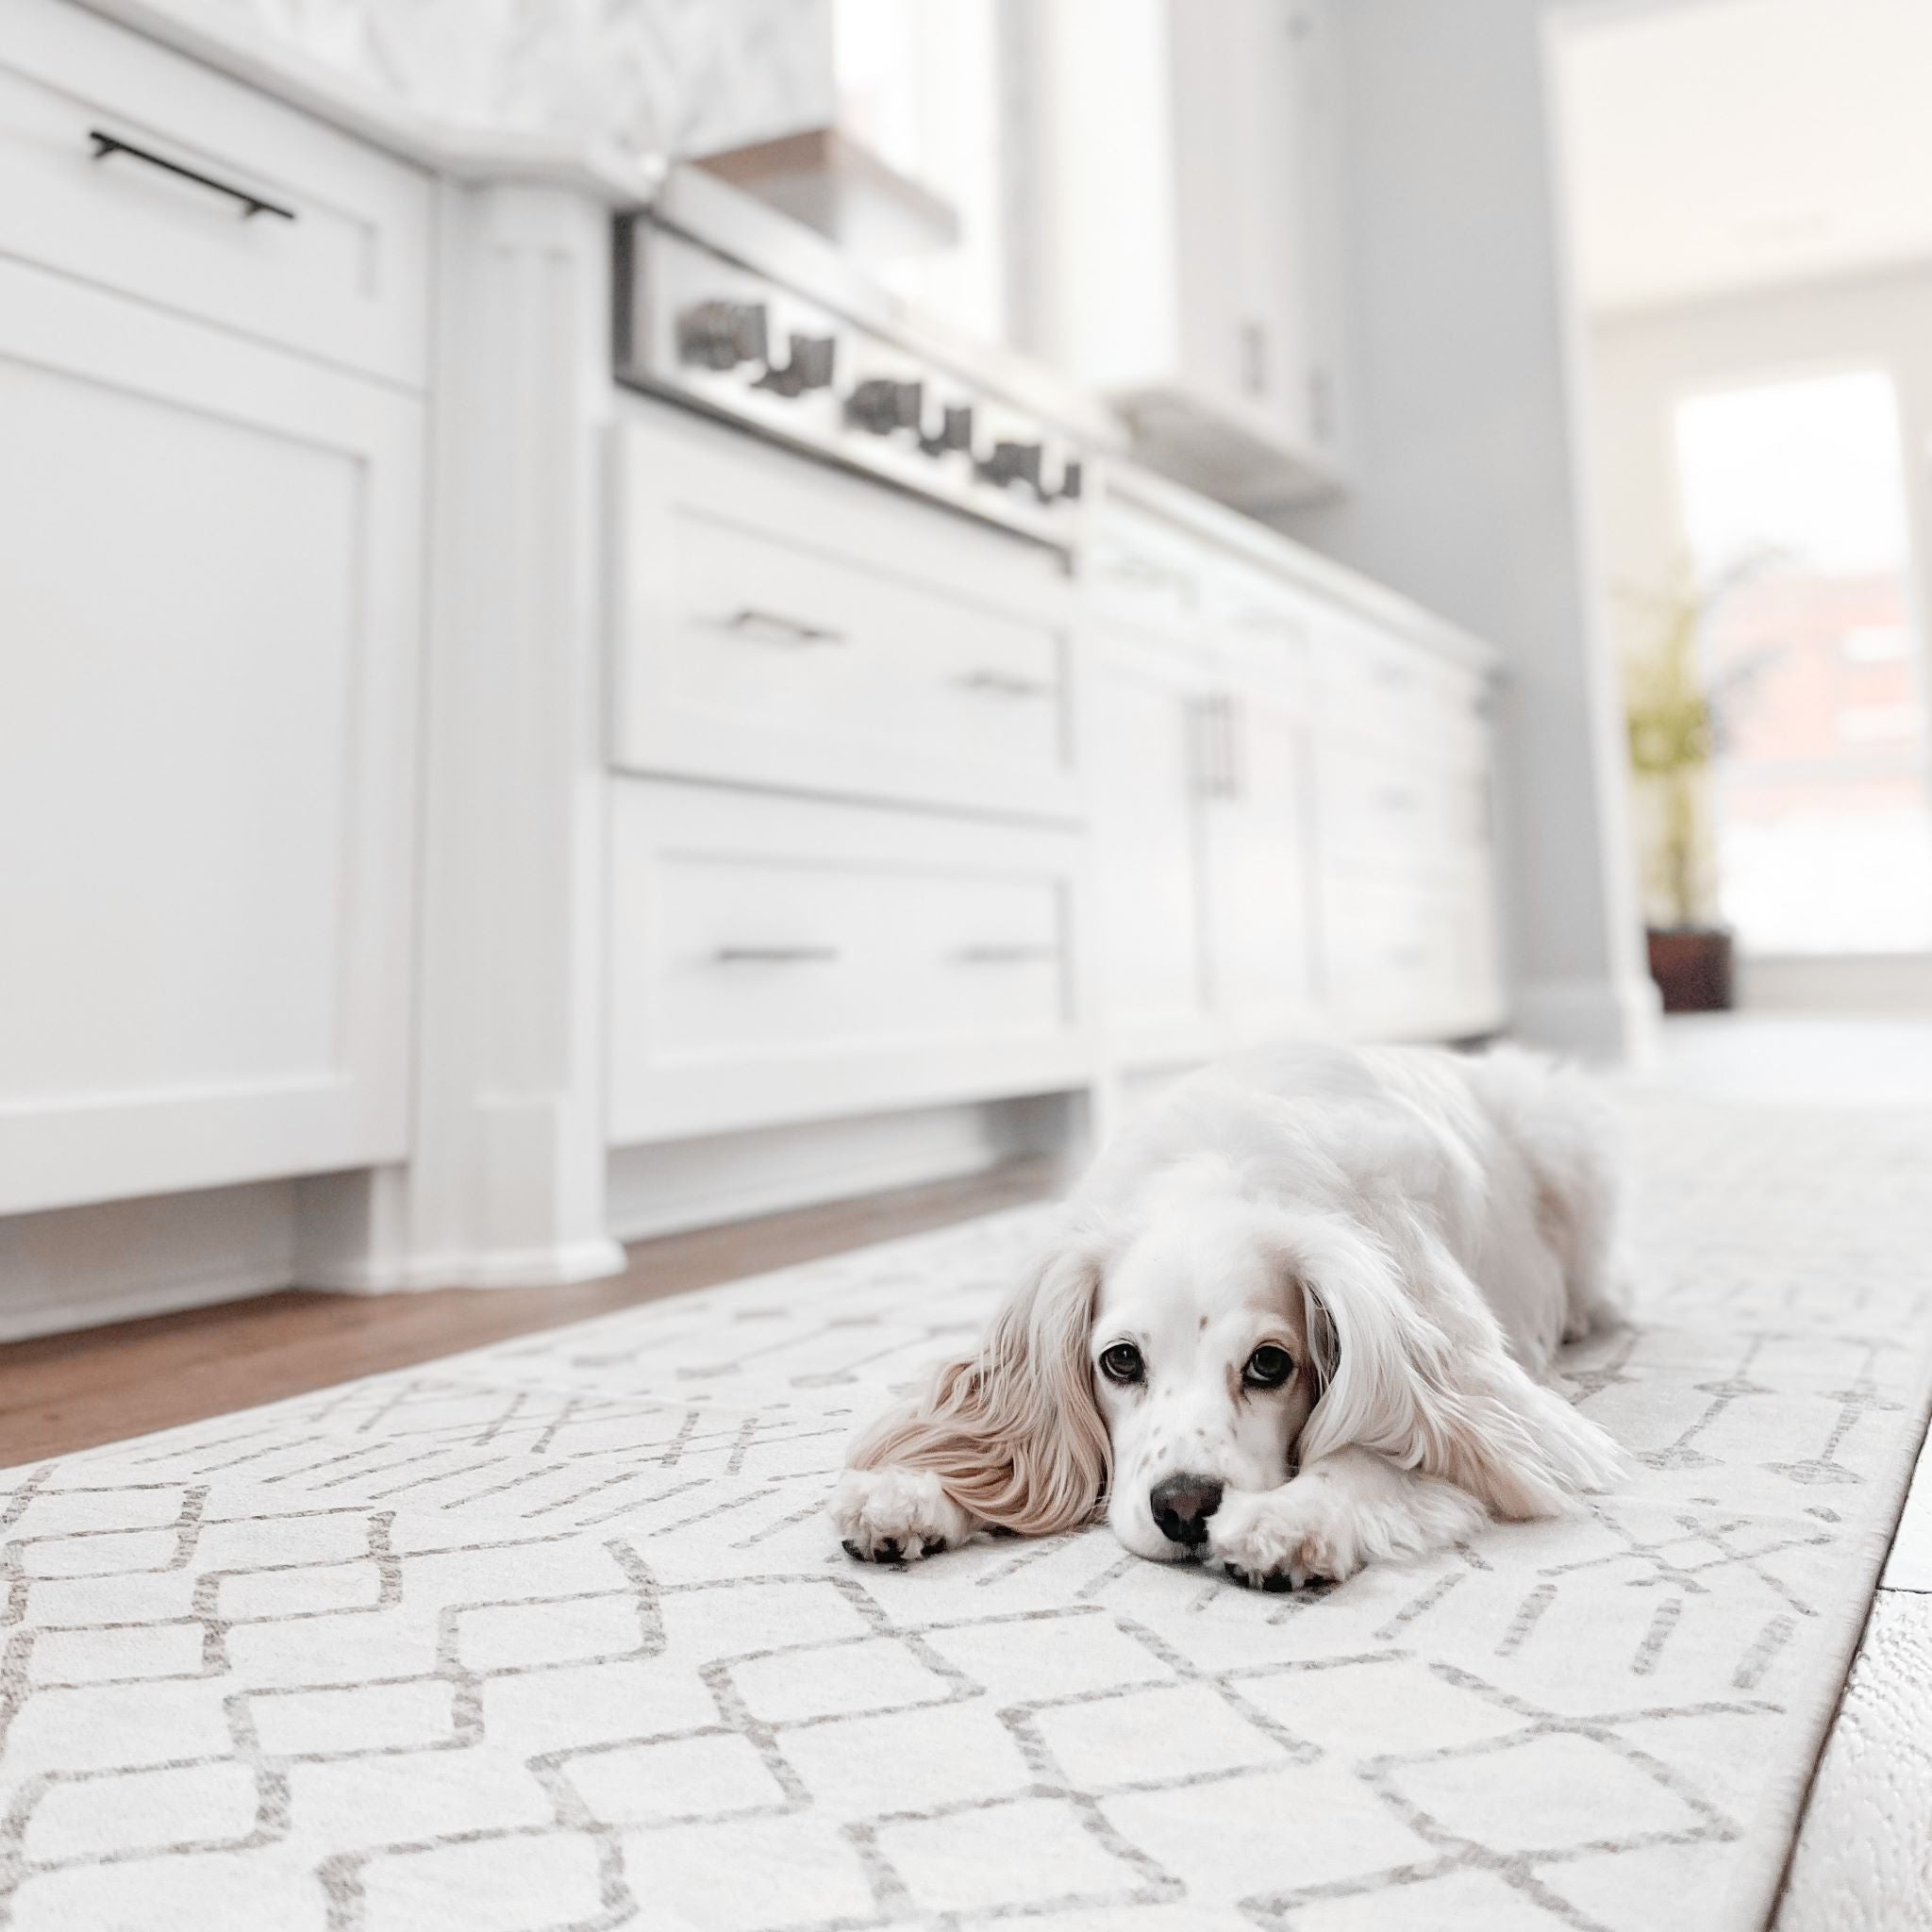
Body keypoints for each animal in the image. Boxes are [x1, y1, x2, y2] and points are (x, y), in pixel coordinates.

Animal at [830, 1051, 1630, 1591]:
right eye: (1121, 1360)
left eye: (1269, 1363)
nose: (1185, 1509)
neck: (1218, 1172)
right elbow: (1004, 1449)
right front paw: (908, 1493)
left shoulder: (1479, 1396)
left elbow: (1373, 1449)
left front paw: (1292, 1519)